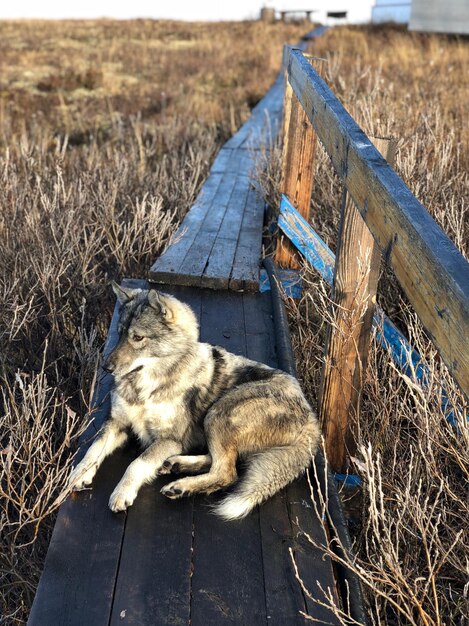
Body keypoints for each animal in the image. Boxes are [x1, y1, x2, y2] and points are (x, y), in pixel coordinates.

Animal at [67, 282, 320, 516]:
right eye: (119, 334)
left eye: (138, 337)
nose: (106, 367)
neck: (146, 385)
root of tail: (312, 422)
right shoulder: (116, 423)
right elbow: (93, 449)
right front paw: (78, 474)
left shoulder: (170, 438)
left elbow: (136, 463)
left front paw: (122, 492)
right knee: (221, 461)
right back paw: (177, 464)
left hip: (219, 412)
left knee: (227, 472)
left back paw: (181, 486)